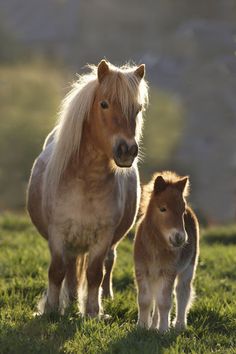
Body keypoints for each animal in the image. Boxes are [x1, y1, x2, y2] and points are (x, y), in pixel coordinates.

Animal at [27, 59, 148, 316]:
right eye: (104, 104)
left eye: (138, 108)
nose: (127, 150)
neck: (86, 182)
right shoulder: (58, 233)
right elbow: (57, 271)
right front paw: (51, 309)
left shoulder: (103, 237)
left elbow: (95, 273)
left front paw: (93, 312)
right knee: (71, 268)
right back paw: (71, 298)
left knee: (108, 262)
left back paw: (104, 296)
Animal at [134, 171, 198, 332]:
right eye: (163, 209)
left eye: (182, 211)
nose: (179, 238)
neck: (155, 245)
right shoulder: (141, 269)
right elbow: (144, 300)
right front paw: (142, 327)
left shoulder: (169, 271)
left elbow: (164, 302)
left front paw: (163, 330)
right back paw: (153, 326)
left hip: (188, 267)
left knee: (182, 292)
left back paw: (180, 325)